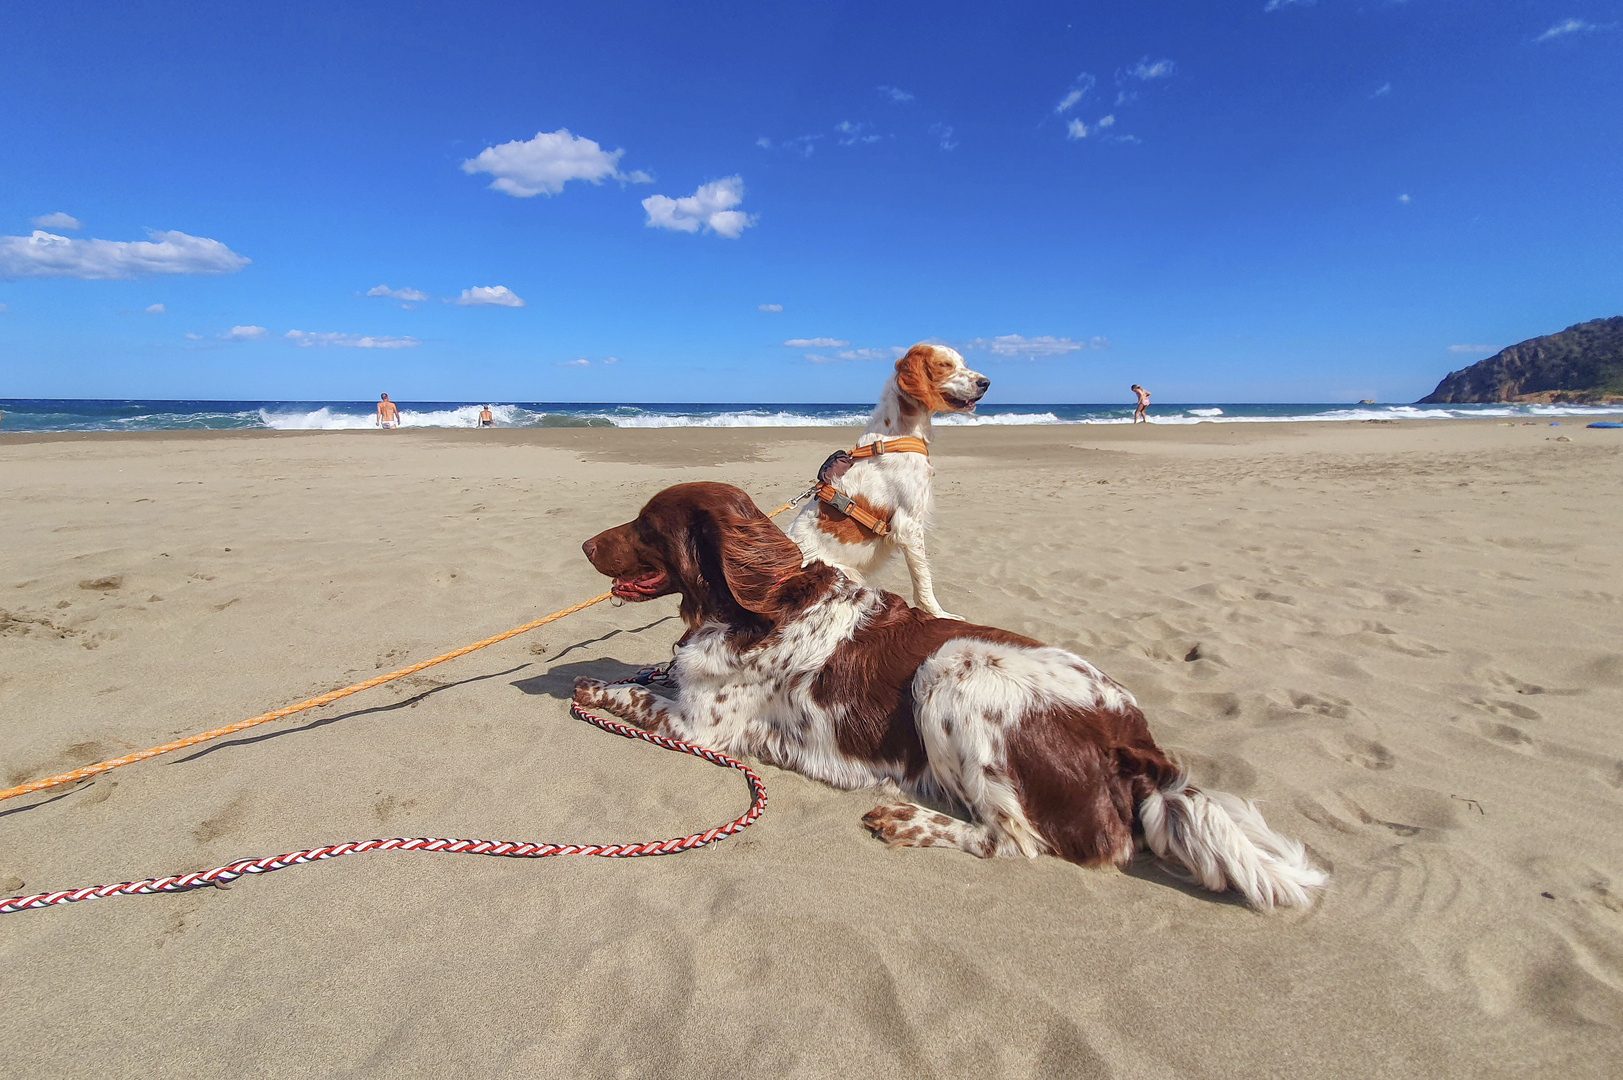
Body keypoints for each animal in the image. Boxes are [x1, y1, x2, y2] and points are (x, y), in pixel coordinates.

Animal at [577, 483, 1324, 902]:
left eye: (645, 525)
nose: (584, 544)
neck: (748, 605)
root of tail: (1134, 741)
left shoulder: (698, 726)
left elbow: (619, 692)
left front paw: (586, 684)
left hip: (949, 666)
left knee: (1017, 840)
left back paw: (907, 819)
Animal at [785, 341, 986, 620]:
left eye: (962, 363)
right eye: (945, 365)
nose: (985, 382)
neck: (896, 435)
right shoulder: (908, 525)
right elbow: (924, 581)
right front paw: (939, 615)